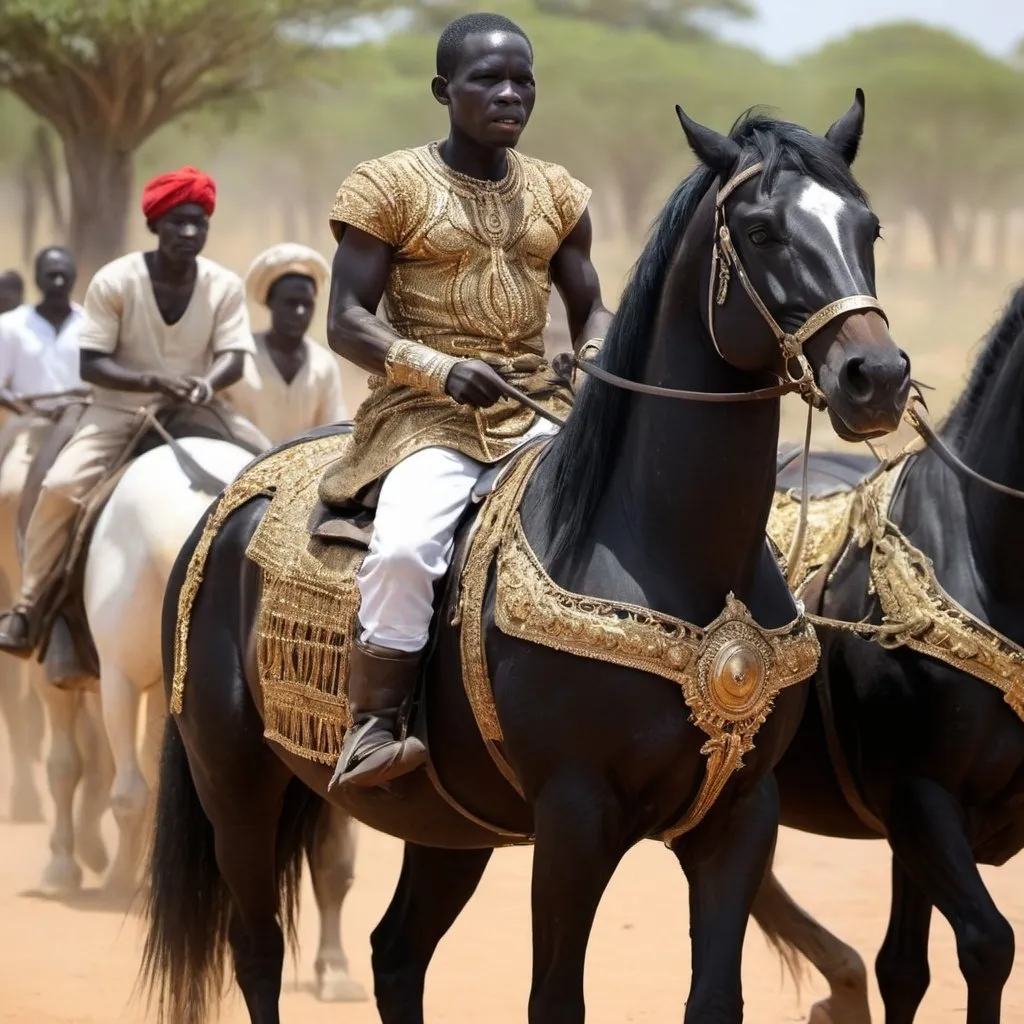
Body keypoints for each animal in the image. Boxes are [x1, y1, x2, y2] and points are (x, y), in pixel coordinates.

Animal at [140, 96, 909, 1024]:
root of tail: (227, 502)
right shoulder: (575, 820)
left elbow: (714, 999)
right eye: (762, 231)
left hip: (447, 823)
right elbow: (555, 999)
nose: (876, 376)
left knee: (396, 953)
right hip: (236, 784)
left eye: (868, 226)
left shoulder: (739, 816)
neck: (674, 554)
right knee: (257, 950)